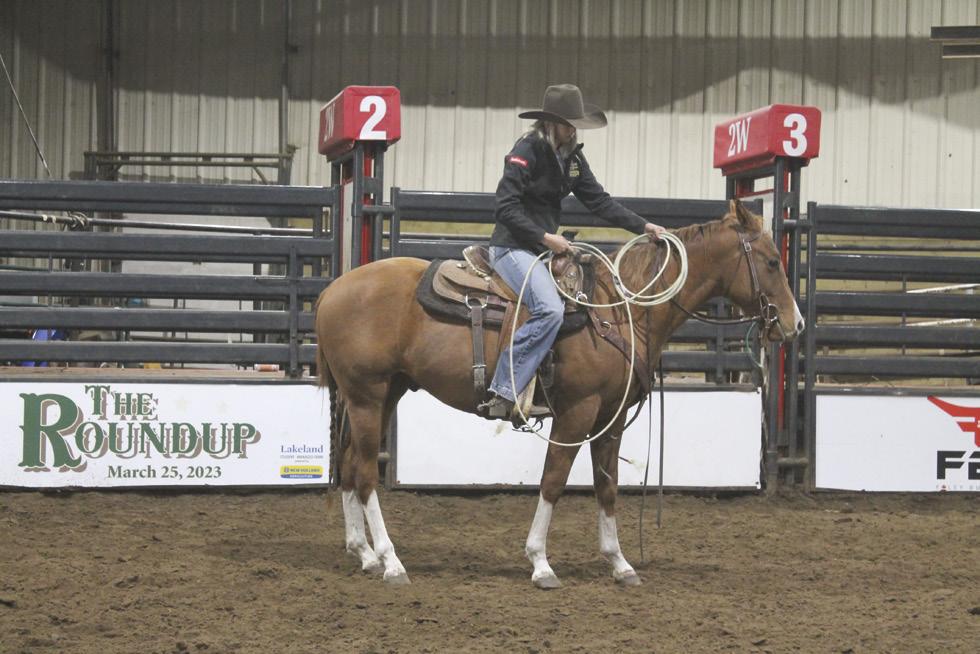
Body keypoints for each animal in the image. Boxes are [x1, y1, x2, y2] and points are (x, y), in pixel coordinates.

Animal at [314, 200, 804, 588]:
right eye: (771, 262)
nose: (794, 324)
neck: (618, 312)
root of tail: (333, 289)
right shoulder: (577, 412)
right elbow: (553, 481)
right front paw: (541, 563)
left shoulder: (610, 418)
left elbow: (608, 486)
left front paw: (620, 563)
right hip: (367, 395)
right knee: (365, 472)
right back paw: (391, 561)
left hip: (384, 393)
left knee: (348, 466)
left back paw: (364, 553)